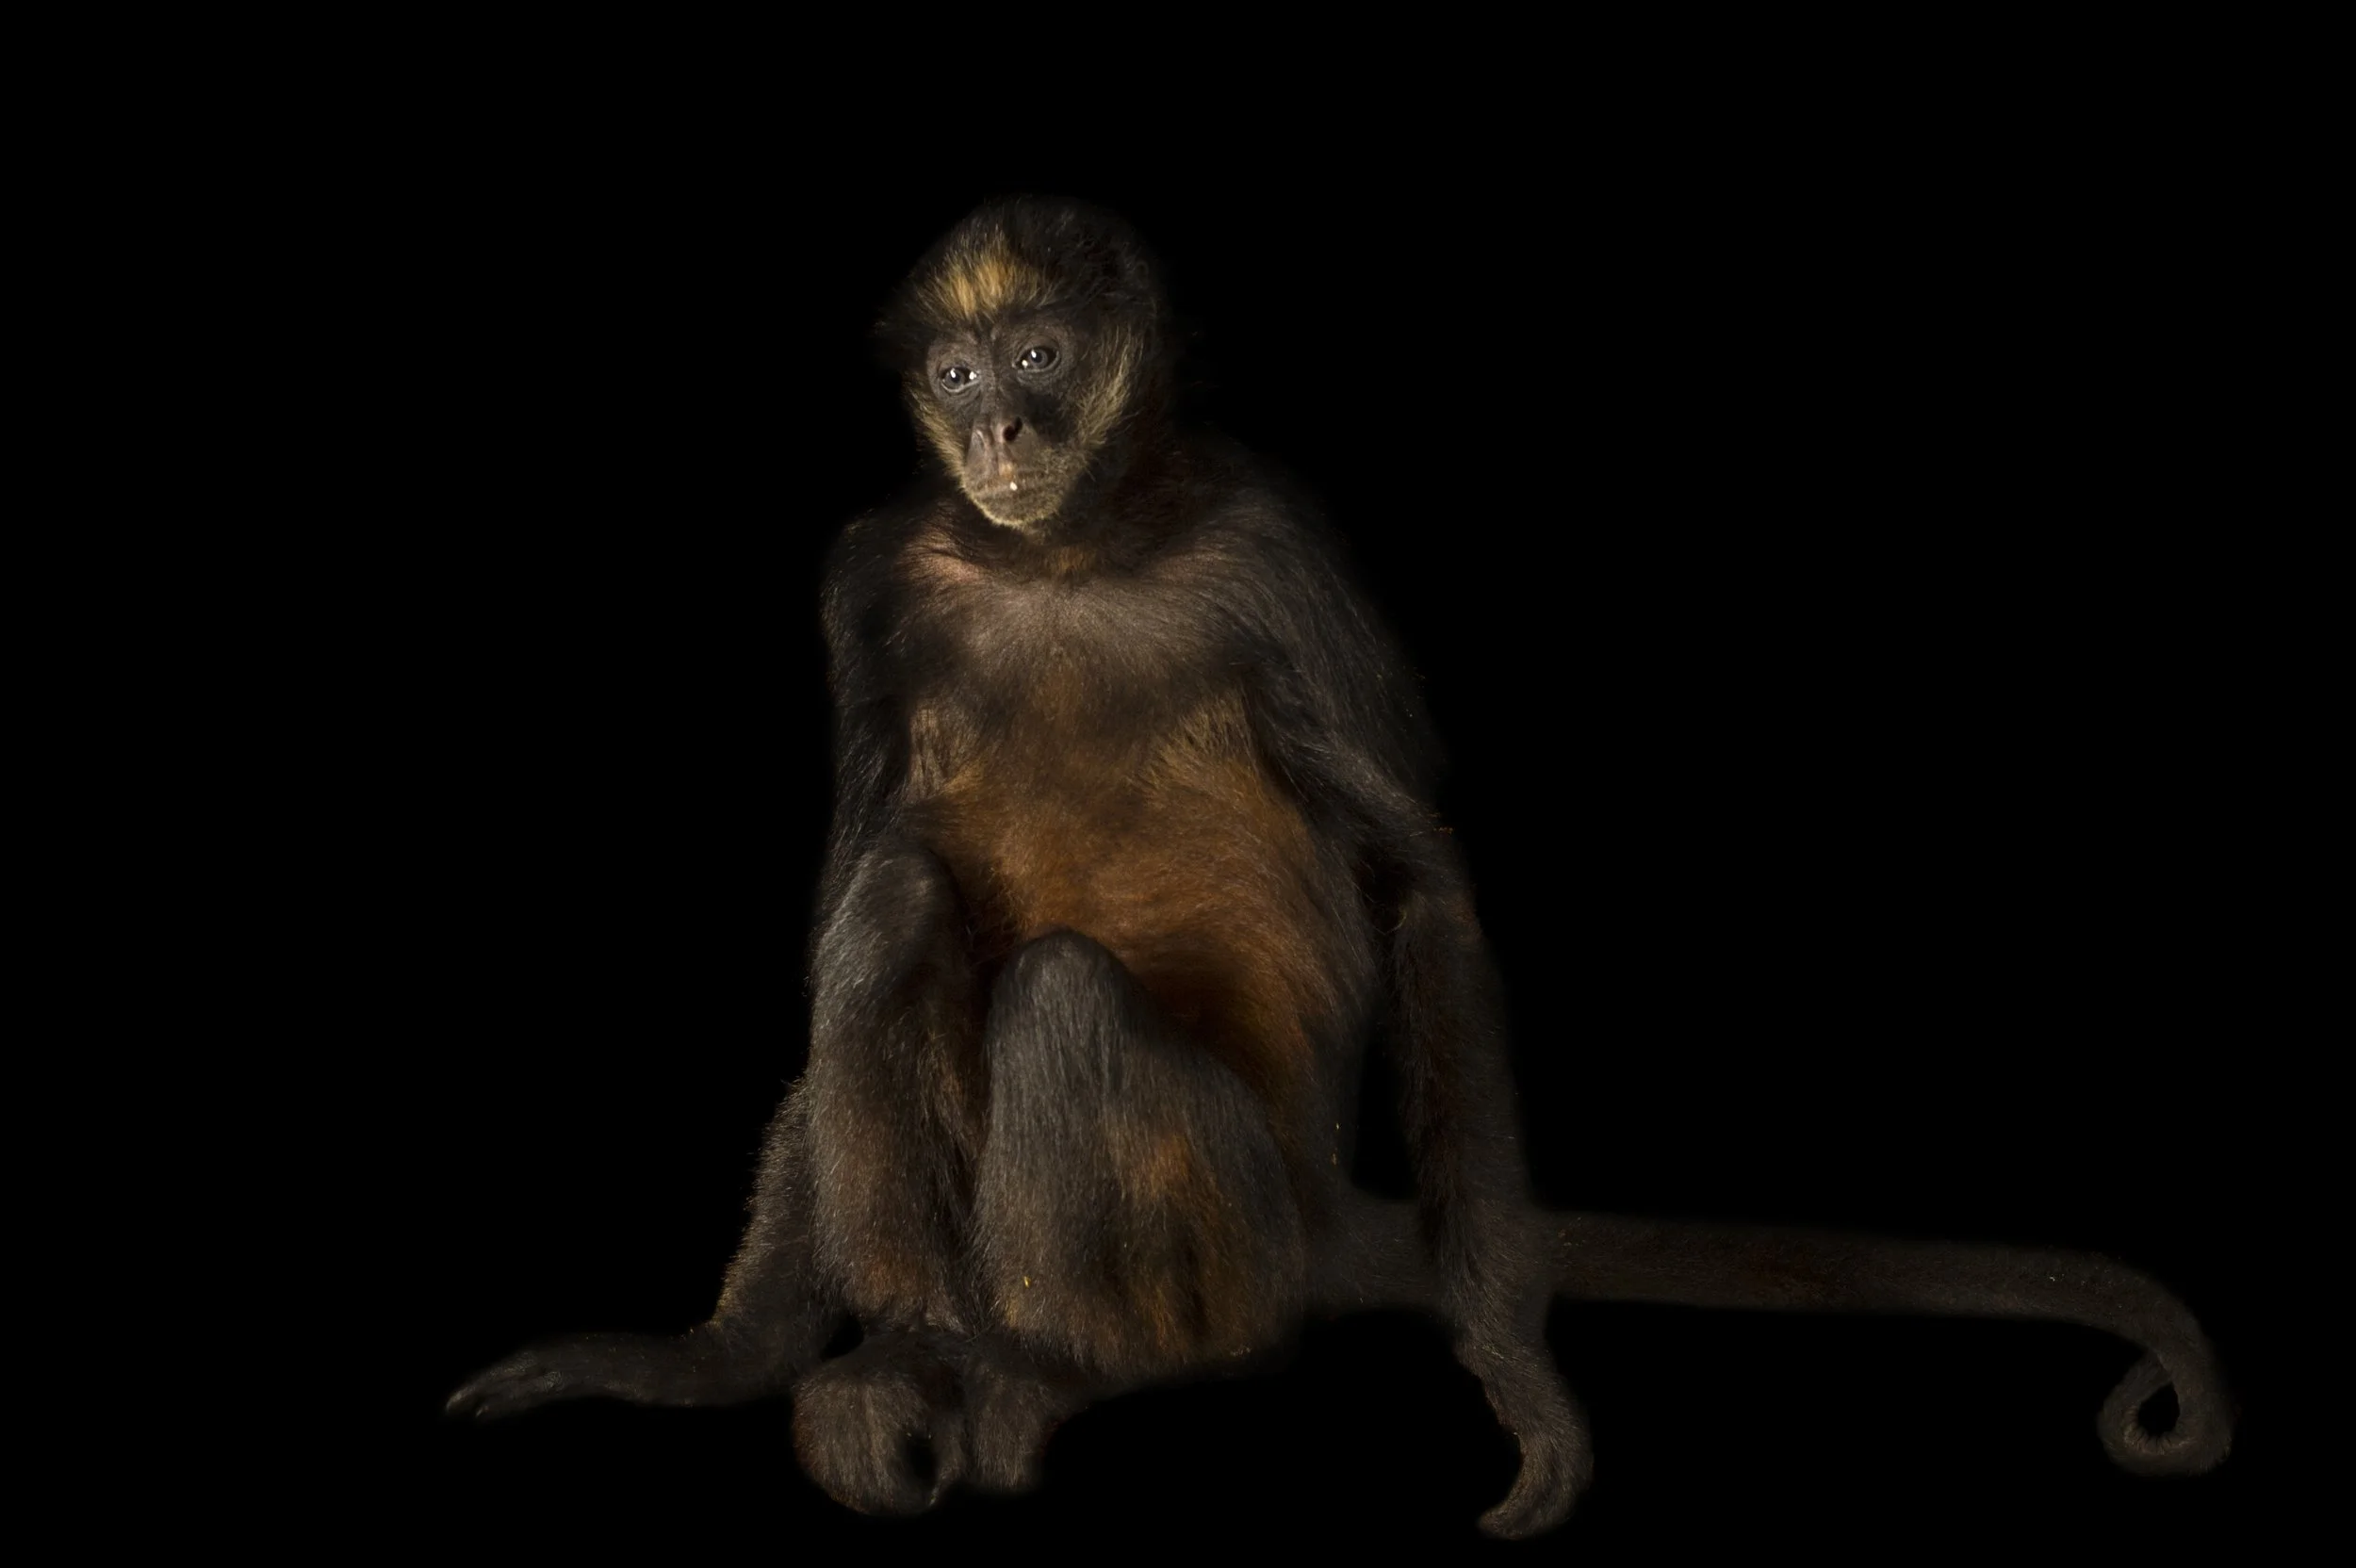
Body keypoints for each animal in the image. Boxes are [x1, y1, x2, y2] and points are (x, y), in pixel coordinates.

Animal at [445, 196, 2233, 1537]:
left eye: (1042, 353)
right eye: (953, 372)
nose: (1000, 420)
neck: (1072, 554)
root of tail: (1318, 1225)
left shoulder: (1274, 551)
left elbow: (1419, 884)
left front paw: (1517, 1376)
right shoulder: (876, 579)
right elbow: (845, 911)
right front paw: (709, 1360)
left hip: (1240, 1237)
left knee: (1062, 999)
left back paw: (1057, 1365)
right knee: (897, 913)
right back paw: (910, 1348)